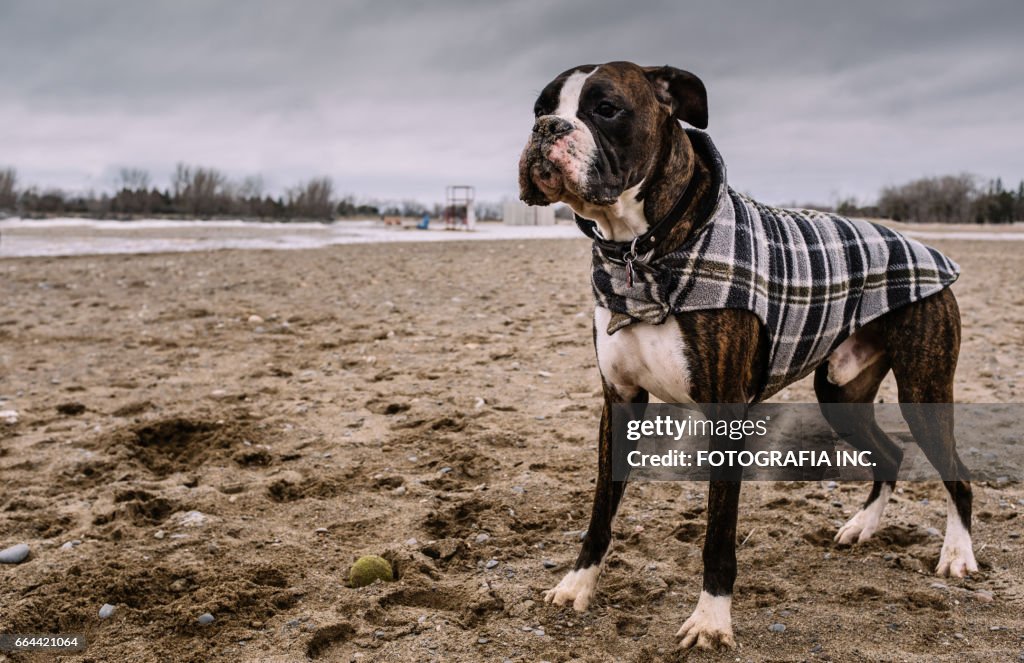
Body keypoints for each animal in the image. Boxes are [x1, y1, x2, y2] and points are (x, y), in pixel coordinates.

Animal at [520, 59, 974, 651]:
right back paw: (863, 527)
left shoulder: (726, 416)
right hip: (841, 394)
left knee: (956, 473)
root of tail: (925, 245)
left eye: (605, 109)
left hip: (924, 388)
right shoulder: (618, 402)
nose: (546, 128)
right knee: (891, 454)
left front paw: (712, 620)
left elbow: (718, 534)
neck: (640, 253)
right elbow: (600, 510)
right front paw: (577, 585)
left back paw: (958, 554)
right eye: (540, 108)